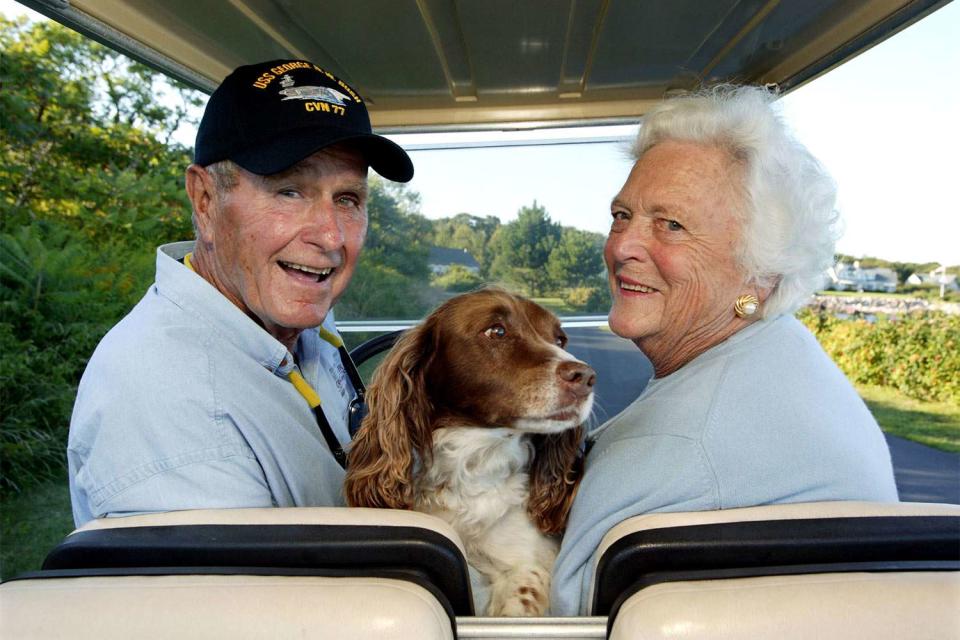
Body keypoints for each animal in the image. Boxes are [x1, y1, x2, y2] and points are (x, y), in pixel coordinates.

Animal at [344, 286, 596, 616]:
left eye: (560, 340)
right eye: (497, 331)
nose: (586, 377)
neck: (474, 462)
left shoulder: (528, 561)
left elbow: (519, 597)